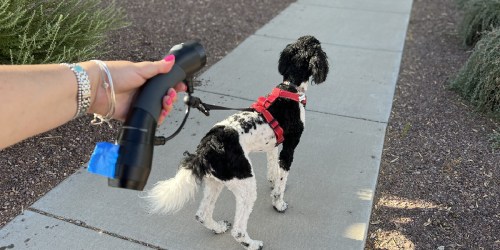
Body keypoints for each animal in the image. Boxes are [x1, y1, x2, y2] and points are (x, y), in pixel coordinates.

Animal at [146, 35, 328, 250]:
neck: (290, 88)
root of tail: (205, 149)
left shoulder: (273, 145)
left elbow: (273, 169)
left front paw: (273, 182)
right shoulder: (289, 148)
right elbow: (282, 180)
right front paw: (278, 203)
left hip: (216, 182)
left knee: (201, 215)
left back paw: (217, 227)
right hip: (245, 184)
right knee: (238, 229)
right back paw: (252, 243)